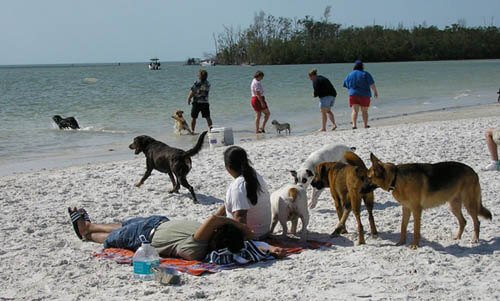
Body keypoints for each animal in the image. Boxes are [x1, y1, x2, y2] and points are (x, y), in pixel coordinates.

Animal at [360, 154, 492, 247]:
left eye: (369, 178)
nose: (360, 191)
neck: (396, 178)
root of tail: (473, 171)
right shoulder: (406, 209)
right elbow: (403, 227)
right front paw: (401, 242)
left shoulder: (416, 210)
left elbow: (415, 229)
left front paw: (415, 245)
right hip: (454, 206)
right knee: (463, 221)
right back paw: (457, 237)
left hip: (470, 205)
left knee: (476, 222)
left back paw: (475, 239)